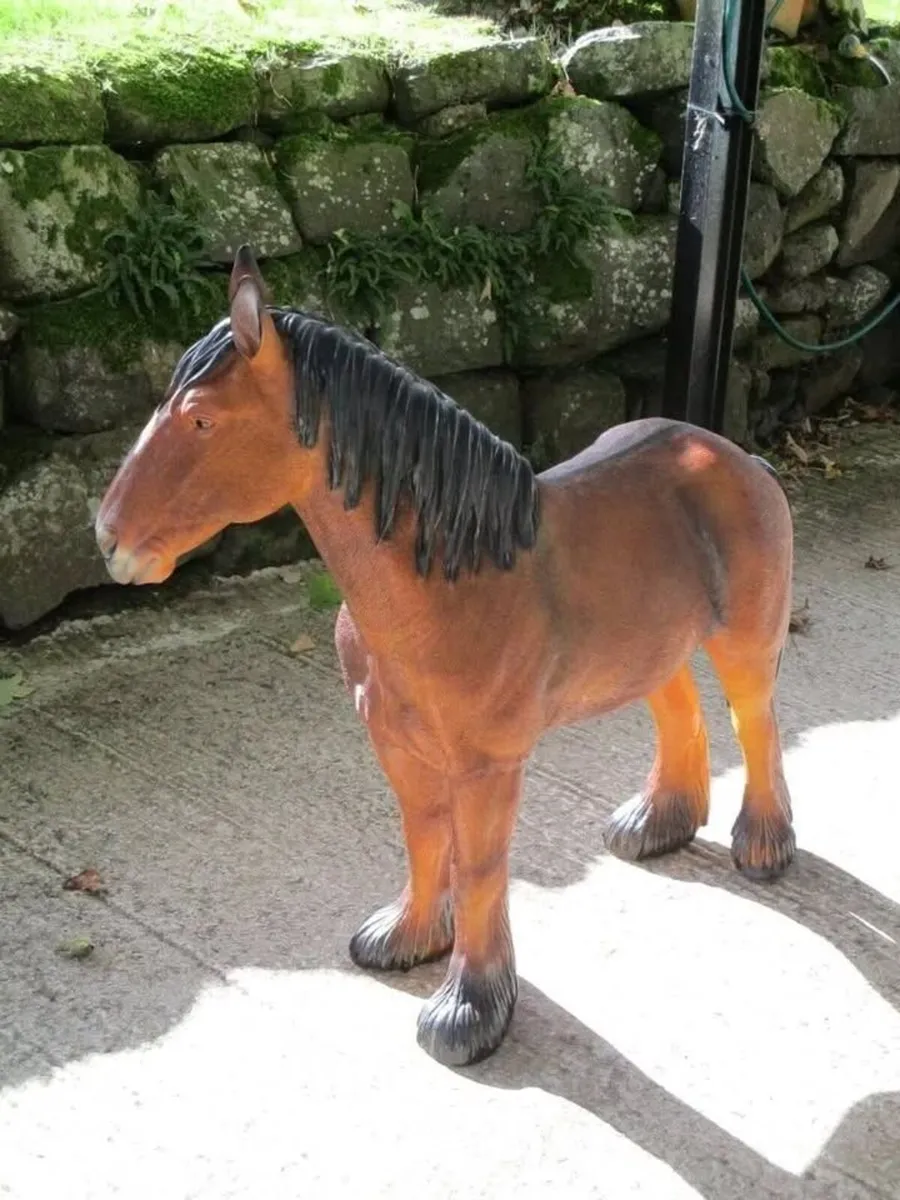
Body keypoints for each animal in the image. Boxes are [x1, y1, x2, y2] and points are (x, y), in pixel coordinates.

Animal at [95, 245, 796, 1068]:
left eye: (202, 418)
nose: (110, 539)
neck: (449, 582)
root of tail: (735, 456)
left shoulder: (487, 765)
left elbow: (481, 867)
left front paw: (470, 1009)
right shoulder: (398, 745)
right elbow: (426, 838)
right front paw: (409, 938)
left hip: (743, 641)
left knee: (755, 722)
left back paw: (764, 844)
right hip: (651, 646)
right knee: (677, 707)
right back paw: (660, 822)